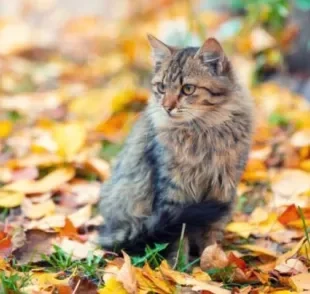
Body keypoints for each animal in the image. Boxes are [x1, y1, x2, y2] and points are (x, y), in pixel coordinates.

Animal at [98, 34, 253, 262]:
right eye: (162, 87)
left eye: (188, 89)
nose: (167, 106)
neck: (201, 132)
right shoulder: (173, 193)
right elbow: (178, 237)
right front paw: (177, 267)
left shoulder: (222, 188)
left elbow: (211, 236)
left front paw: (214, 262)